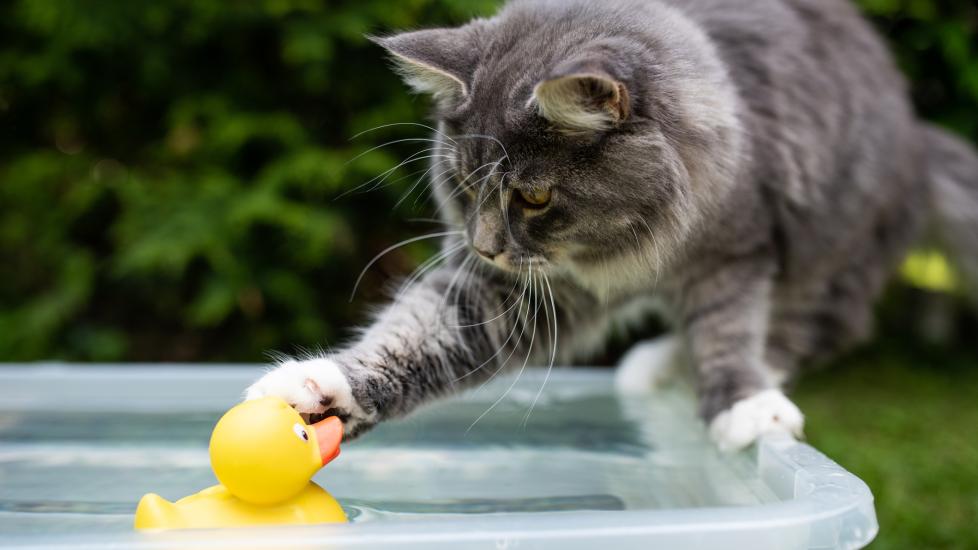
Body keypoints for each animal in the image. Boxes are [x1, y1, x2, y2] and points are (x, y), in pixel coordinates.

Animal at [246, 0, 976, 452]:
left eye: (535, 196)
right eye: (466, 183)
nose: (484, 245)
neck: (621, 250)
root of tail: (917, 134)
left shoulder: (737, 249)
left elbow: (728, 328)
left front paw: (742, 403)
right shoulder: (509, 293)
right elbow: (413, 336)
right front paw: (317, 392)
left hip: (830, 253)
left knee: (808, 330)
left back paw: (688, 373)